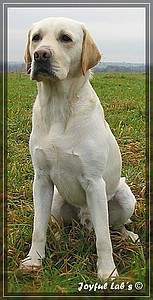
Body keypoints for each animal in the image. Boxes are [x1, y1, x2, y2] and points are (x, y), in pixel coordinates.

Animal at [19, 17, 138, 278]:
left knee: (113, 227)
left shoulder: (94, 183)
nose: (40, 55)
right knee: (55, 223)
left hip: (125, 196)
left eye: (65, 38)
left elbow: (104, 238)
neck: (58, 107)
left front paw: (108, 272)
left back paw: (129, 235)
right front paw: (34, 260)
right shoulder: (41, 179)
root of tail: (85, 219)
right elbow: (37, 228)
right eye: (36, 38)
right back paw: (57, 234)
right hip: (55, 200)